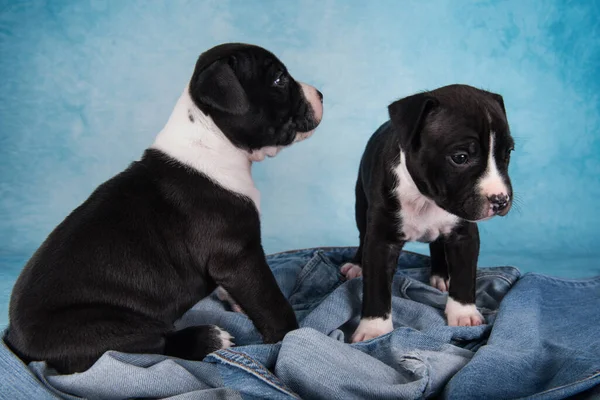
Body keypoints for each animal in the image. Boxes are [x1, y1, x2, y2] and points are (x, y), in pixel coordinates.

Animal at [5, 42, 324, 374]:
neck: (213, 139)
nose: (321, 94)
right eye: (279, 80)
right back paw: (208, 338)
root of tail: (15, 341)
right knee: (151, 342)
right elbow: (270, 301)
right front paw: (291, 336)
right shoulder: (239, 256)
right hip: (97, 327)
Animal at [340, 83, 512, 340]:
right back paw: (357, 265)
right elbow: (377, 286)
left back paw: (442, 275)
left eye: (507, 153)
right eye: (460, 157)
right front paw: (375, 329)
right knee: (362, 235)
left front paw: (463, 314)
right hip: (361, 203)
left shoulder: (464, 235)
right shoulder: (381, 240)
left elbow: (464, 275)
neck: (426, 198)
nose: (500, 200)